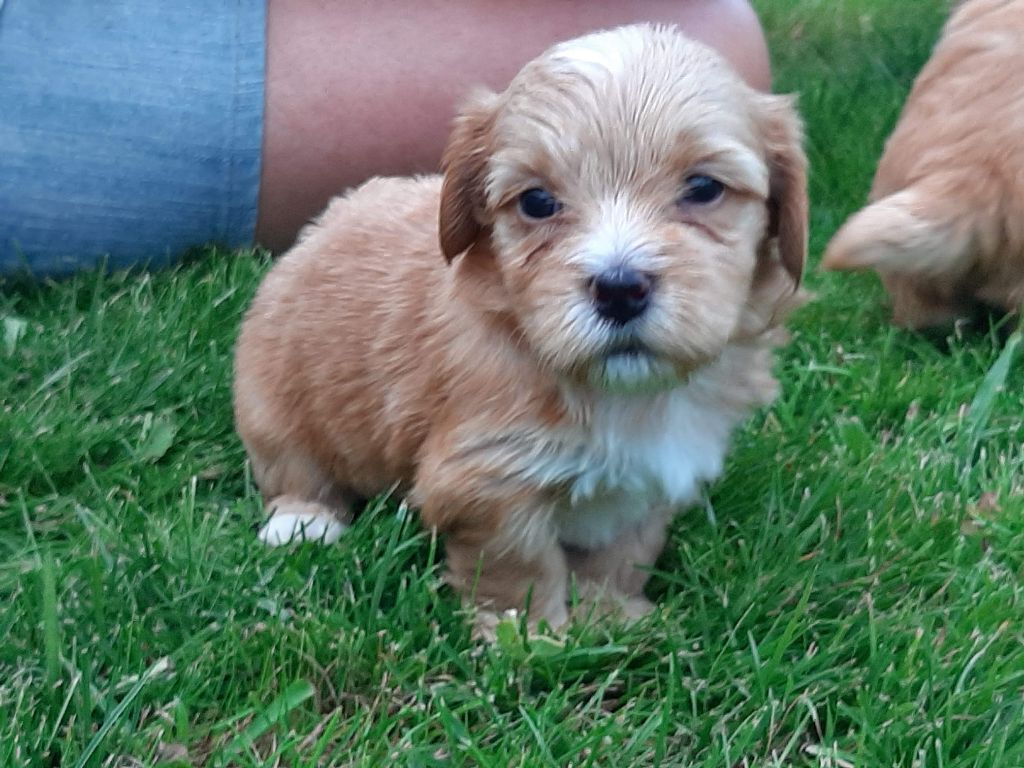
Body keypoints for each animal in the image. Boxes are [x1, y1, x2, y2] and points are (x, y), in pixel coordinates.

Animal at [233, 24, 807, 632]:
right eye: (536, 202)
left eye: (702, 188)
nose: (619, 288)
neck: (624, 395)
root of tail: (322, 225)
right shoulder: (488, 479)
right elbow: (518, 564)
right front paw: (531, 634)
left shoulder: (654, 483)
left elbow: (622, 553)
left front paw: (611, 613)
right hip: (272, 400)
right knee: (295, 470)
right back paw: (304, 524)